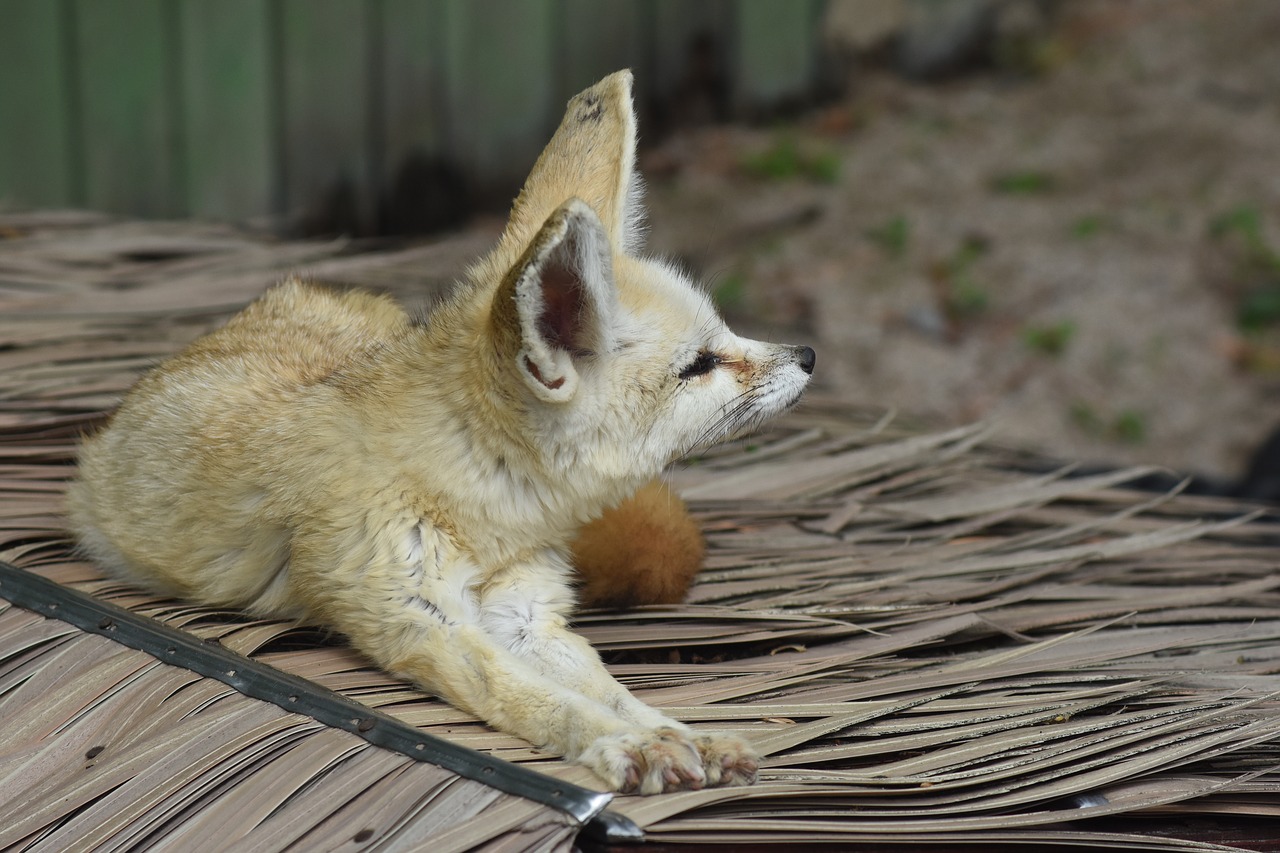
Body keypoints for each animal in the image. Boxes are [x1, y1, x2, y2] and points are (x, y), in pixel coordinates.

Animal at [70, 71, 814, 788]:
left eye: (723, 336)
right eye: (701, 364)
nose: (808, 355)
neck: (488, 511)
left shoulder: (526, 617)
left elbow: (610, 690)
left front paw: (682, 733)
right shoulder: (418, 620)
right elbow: (542, 700)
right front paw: (628, 744)